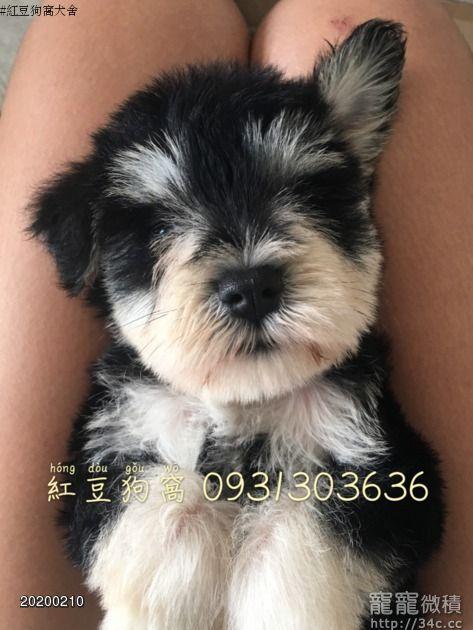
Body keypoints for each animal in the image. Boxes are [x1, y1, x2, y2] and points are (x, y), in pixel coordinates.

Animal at [30, 19, 444, 630]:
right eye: (159, 228)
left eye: (304, 195)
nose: (251, 288)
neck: (245, 403)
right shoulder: (114, 457)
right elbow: (168, 516)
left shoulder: (383, 476)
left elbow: (292, 545)